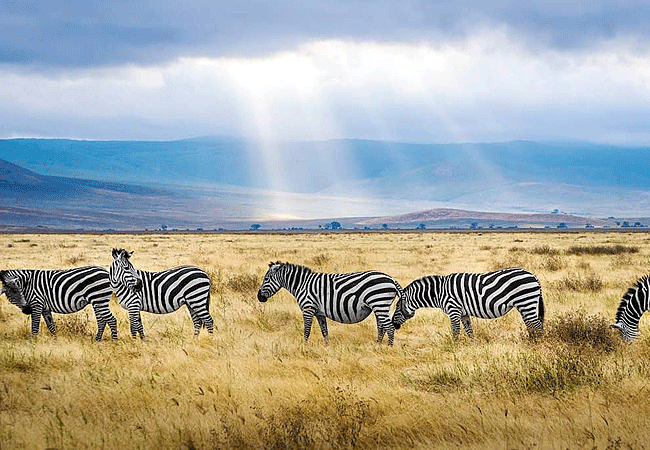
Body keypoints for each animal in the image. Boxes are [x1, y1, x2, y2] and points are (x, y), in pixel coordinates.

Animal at [257, 261, 403, 345]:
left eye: (266, 279)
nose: (259, 297)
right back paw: (377, 345)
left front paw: (304, 346)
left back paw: (388, 348)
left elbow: (307, 330)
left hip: (379, 303)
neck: (302, 284)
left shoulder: (308, 308)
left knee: (389, 327)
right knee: (381, 326)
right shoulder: (319, 312)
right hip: (379, 306)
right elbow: (324, 331)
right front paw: (326, 347)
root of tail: (391, 279)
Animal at [391, 268, 545, 339]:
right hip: (525, 305)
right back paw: (531, 341)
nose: (393, 324)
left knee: (537, 325)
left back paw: (538, 344)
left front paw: (454, 347)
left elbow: (455, 330)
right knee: (531, 325)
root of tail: (534, 276)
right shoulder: (463, 313)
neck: (439, 292)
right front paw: (472, 346)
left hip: (526, 301)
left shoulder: (453, 310)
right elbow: (469, 330)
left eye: (397, 307)